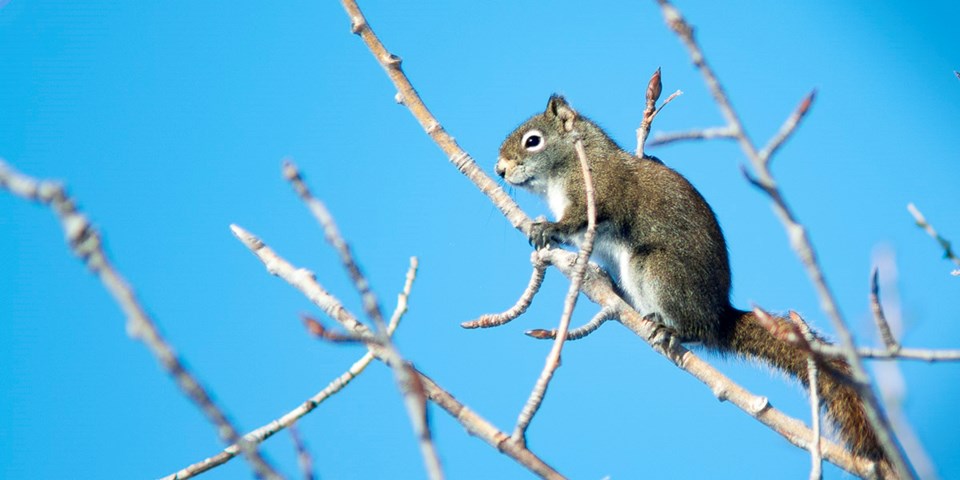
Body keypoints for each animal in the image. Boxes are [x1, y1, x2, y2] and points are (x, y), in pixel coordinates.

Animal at [498, 95, 888, 470]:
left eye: (533, 141)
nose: (499, 169)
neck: (572, 163)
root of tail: (720, 316)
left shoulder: (597, 193)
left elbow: (577, 220)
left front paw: (547, 228)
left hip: (656, 269)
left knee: (694, 328)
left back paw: (670, 329)